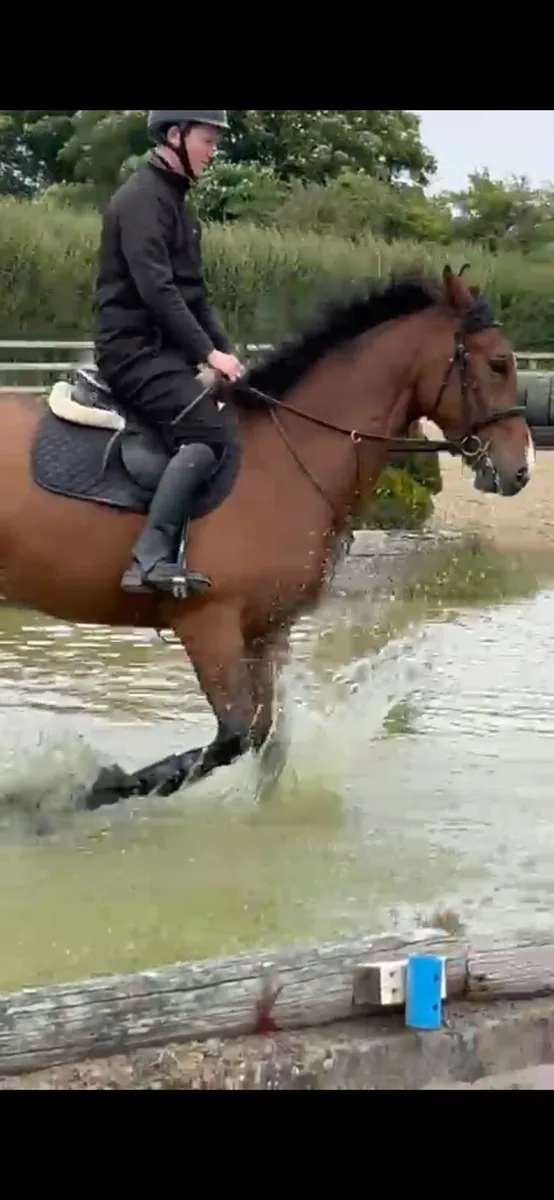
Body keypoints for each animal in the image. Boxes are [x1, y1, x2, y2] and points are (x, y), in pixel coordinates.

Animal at [0, 264, 532, 811]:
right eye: (498, 364)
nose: (521, 470)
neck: (285, 456)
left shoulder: (268, 630)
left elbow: (271, 742)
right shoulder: (209, 624)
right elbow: (237, 735)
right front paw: (87, 789)